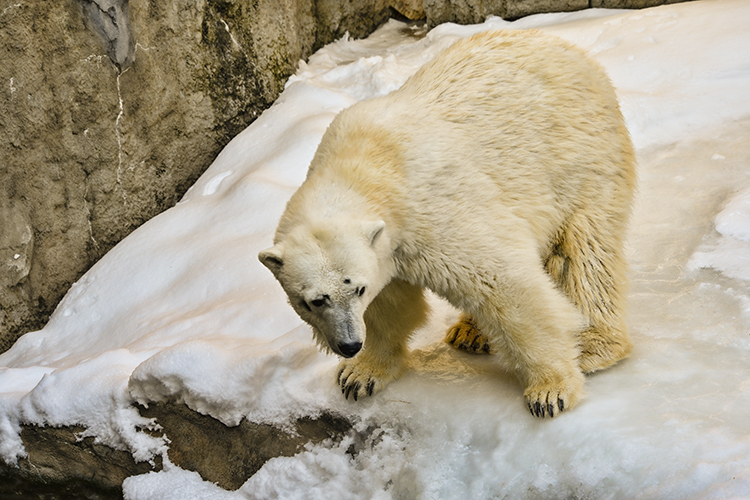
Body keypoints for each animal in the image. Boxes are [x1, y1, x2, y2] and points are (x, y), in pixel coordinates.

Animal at [262, 29, 636, 416]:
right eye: (314, 301)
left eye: (357, 289)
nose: (348, 345)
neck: (365, 165)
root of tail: (569, 48)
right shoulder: (389, 246)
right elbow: (391, 303)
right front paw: (359, 374)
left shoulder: (434, 214)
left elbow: (505, 284)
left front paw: (550, 390)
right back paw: (470, 333)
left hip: (580, 159)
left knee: (584, 253)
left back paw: (593, 345)